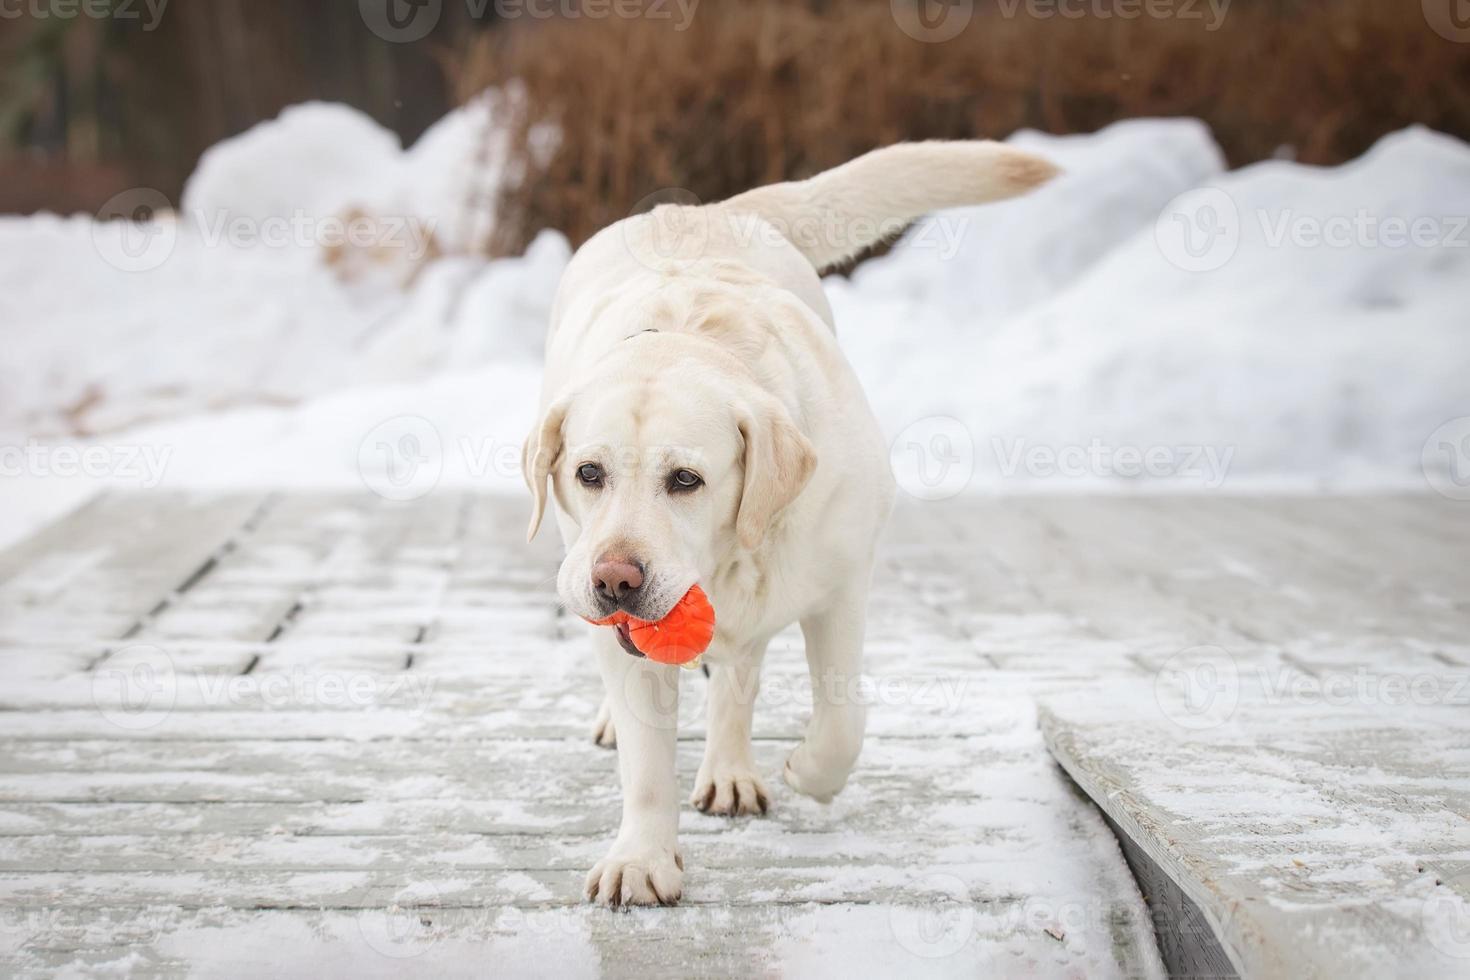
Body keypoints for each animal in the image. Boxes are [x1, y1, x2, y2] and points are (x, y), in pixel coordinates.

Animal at [529, 141, 1058, 910]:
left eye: (685, 479)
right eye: (588, 473)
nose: (615, 580)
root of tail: (708, 210)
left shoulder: (842, 587)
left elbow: (842, 719)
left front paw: (810, 771)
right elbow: (647, 760)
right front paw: (642, 858)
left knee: (740, 674)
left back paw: (731, 769)